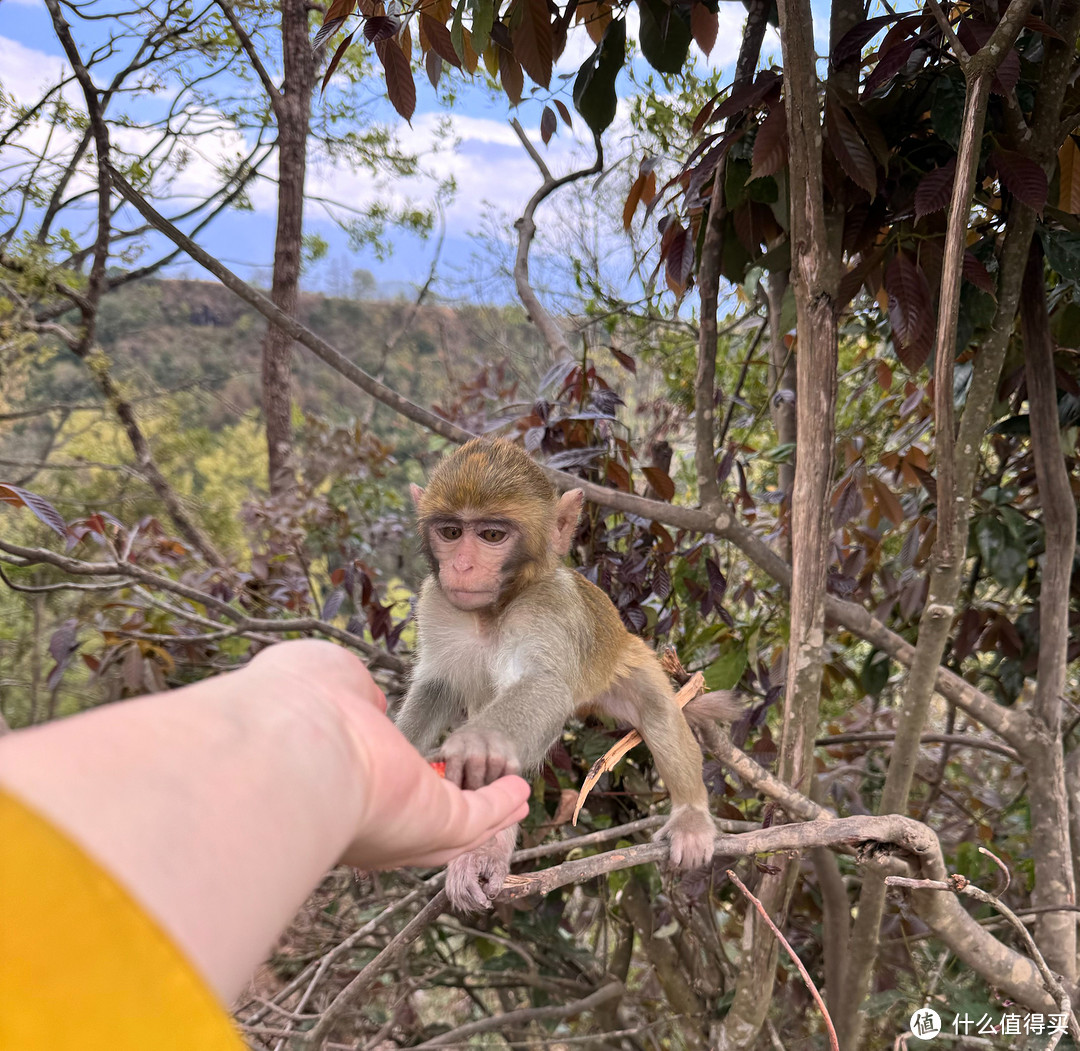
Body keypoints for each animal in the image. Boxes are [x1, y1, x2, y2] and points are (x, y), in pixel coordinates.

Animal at [393, 436, 730, 911]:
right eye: (451, 533)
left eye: (491, 535)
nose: (460, 567)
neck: (493, 610)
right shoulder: (436, 603)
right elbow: (435, 686)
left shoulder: (549, 608)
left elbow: (544, 686)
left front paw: (473, 748)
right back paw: (485, 854)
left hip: (626, 660)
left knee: (657, 713)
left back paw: (692, 819)